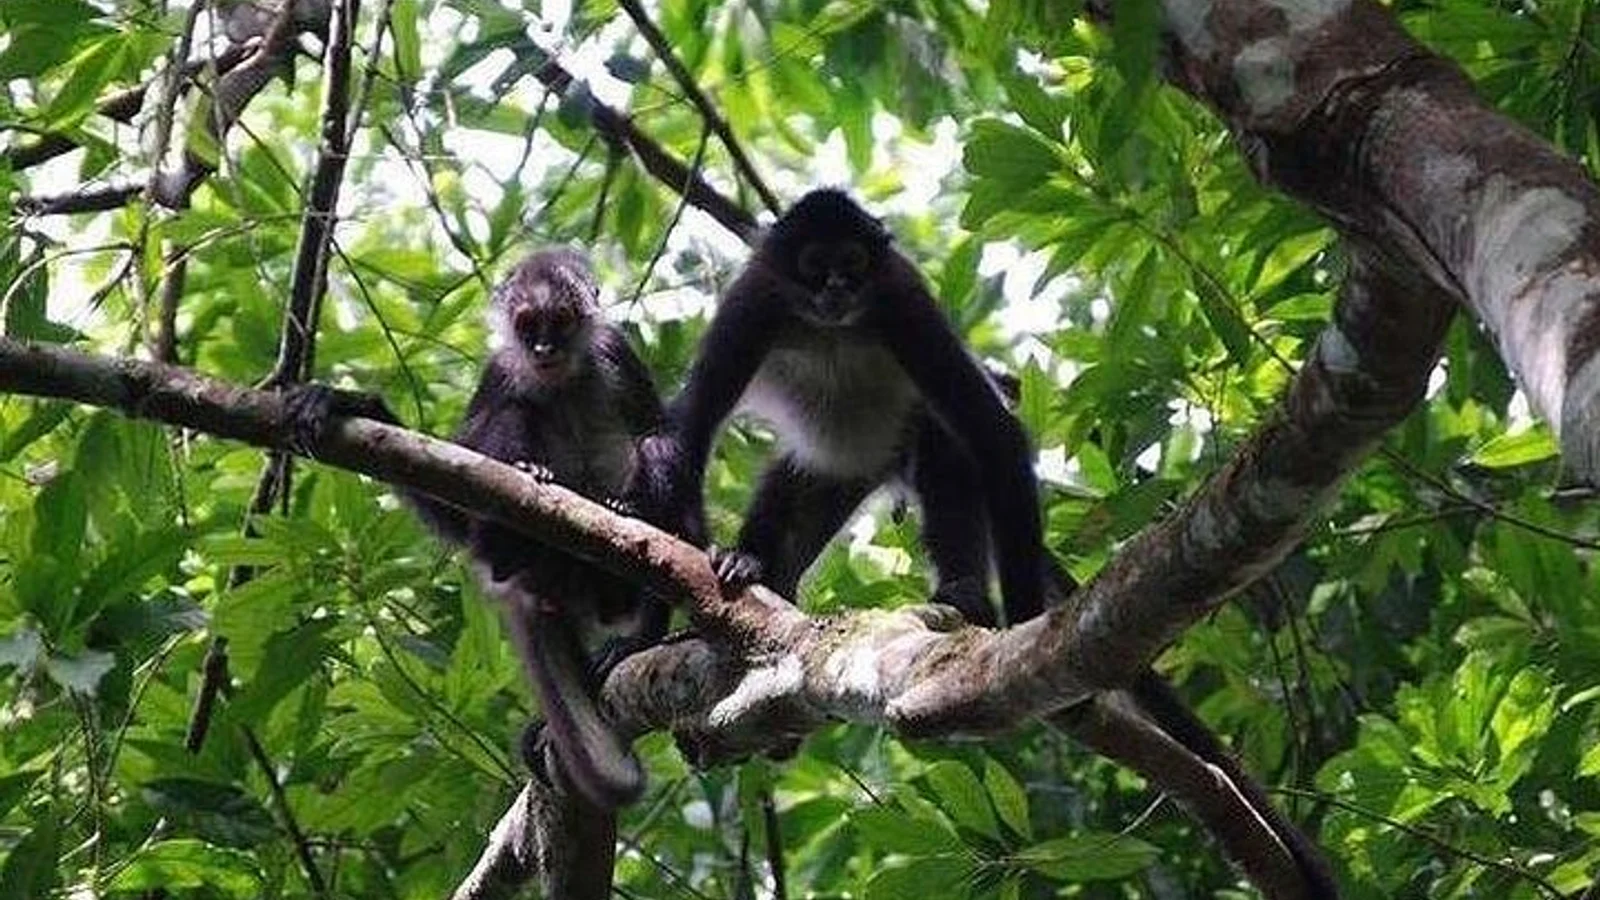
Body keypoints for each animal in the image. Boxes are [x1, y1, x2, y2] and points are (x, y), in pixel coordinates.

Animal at [290, 248, 696, 810]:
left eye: (560, 322)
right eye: (528, 326)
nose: (544, 349)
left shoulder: (616, 354)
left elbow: (662, 437)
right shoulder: (500, 371)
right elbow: (460, 501)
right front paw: (353, 404)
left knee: (655, 452)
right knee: (512, 414)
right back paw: (517, 515)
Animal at [652, 188, 1047, 627]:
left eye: (852, 261)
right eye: (814, 263)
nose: (837, 284)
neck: (831, 329)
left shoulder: (902, 299)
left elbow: (995, 435)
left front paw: (1027, 616)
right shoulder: (754, 301)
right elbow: (694, 420)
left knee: (946, 459)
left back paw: (965, 592)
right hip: (826, 474)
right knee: (786, 487)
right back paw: (749, 561)